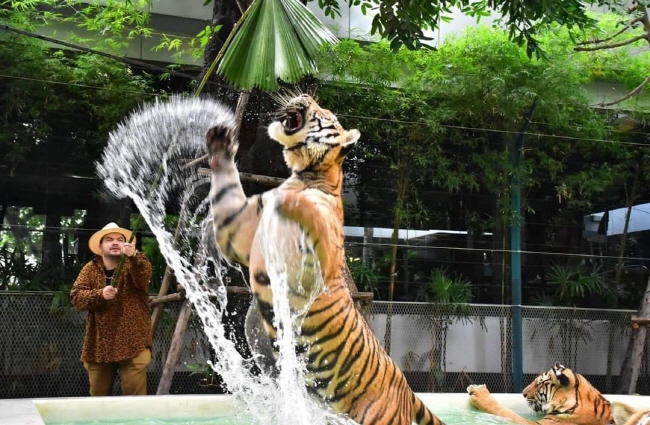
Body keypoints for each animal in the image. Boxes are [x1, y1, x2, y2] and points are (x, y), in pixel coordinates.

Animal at [205, 93, 442, 424]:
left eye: (325, 113)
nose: (305, 95)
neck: (307, 174)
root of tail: (408, 390)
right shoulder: (238, 229)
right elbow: (227, 187)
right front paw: (220, 142)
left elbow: (310, 214)